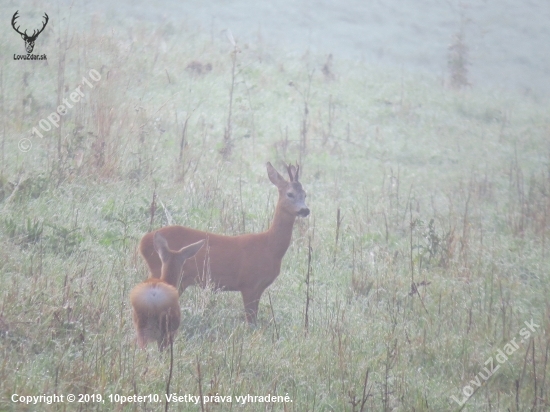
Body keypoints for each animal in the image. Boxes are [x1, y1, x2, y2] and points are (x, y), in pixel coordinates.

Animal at [140, 163, 312, 324]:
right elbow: (251, 322)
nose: (305, 210)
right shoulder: (248, 283)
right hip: (162, 271)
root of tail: (142, 242)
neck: (269, 247)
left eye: (305, 194)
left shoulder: (259, 287)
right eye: (290, 194)